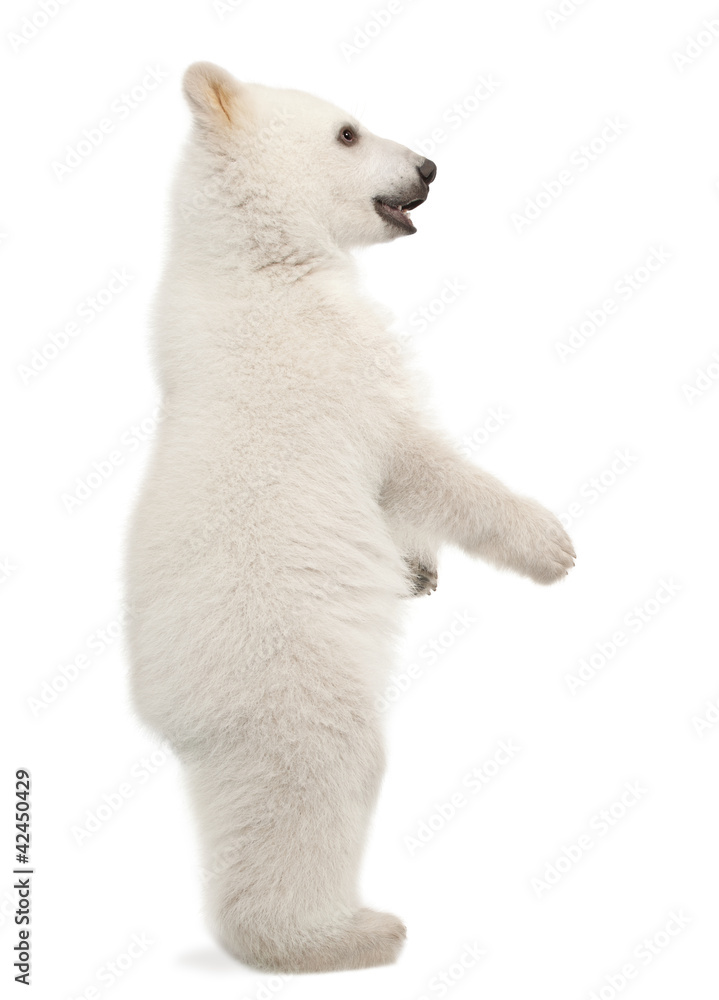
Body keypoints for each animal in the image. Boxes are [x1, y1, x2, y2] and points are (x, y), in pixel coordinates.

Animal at [124, 61, 575, 975]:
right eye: (347, 132)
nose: (430, 166)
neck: (254, 262)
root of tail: (162, 705)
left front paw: (419, 570)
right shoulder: (329, 361)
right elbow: (418, 462)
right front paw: (551, 544)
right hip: (286, 660)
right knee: (319, 772)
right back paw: (342, 934)